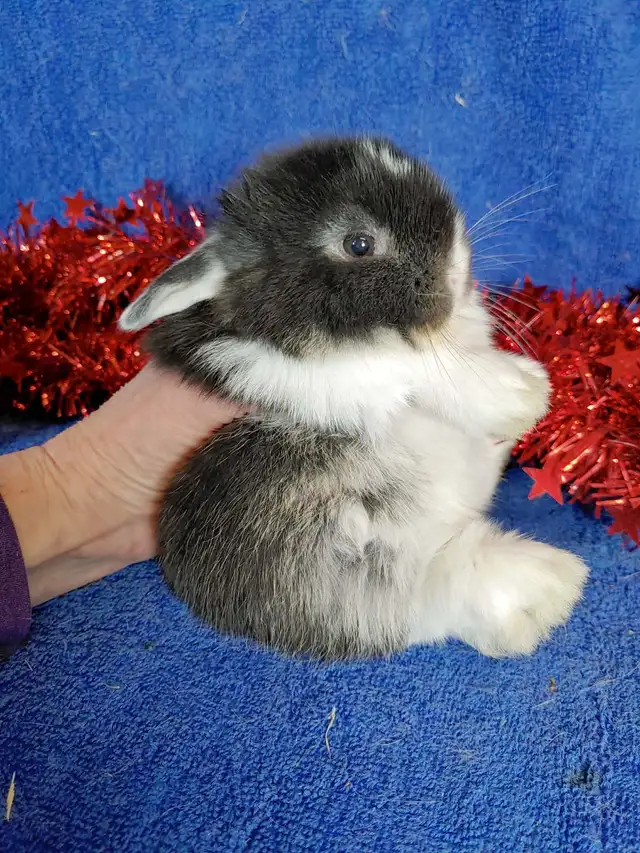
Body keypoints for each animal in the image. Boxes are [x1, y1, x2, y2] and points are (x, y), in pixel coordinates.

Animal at [119, 136, 588, 660]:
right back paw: (547, 588)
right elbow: (407, 364)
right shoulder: (286, 368)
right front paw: (524, 392)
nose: (458, 268)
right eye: (358, 244)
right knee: (425, 589)